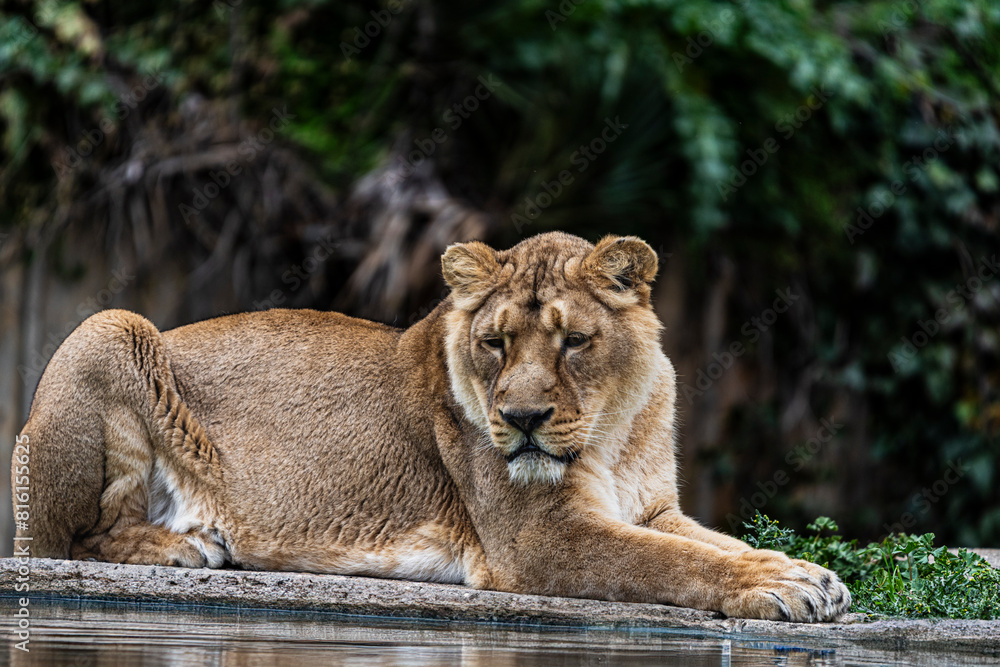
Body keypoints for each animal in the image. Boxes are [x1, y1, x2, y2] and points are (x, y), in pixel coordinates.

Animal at [13, 232, 849, 622]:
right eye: (497, 342)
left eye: (574, 341)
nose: (521, 419)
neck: (610, 431)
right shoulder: (538, 539)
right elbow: (674, 564)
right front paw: (780, 585)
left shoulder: (651, 507)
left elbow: (717, 543)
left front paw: (810, 573)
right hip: (111, 325)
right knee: (70, 539)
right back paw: (184, 546)